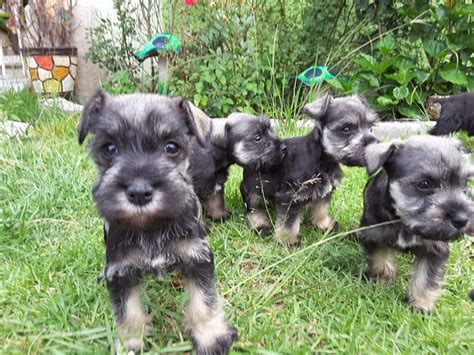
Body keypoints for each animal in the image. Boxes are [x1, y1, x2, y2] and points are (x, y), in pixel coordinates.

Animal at [79, 90, 239, 354]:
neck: (151, 225)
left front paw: (211, 337)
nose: (139, 192)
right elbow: (127, 310)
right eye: (109, 148)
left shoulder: (197, 258)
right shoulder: (121, 269)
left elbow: (204, 300)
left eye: (171, 147)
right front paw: (130, 341)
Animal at [241, 93, 378, 246]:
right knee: (255, 209)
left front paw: (323, 224)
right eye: (346, 128)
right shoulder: (290, 195)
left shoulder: (325, 190)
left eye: (371, 127)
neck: (322, 160)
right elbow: (288, 222)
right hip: (255, 190)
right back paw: (260, 225)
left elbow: (321, 208)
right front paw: (287, 240)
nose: (374, 144)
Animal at [362, 136, 472, 314]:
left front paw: (420, 304)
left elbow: (426, 277)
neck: (403, 221)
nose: (461, 219)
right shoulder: (374, 236)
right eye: (424, 184)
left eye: (465, 183)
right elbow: (380, 260)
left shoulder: (434, 249)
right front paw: (382, 279)